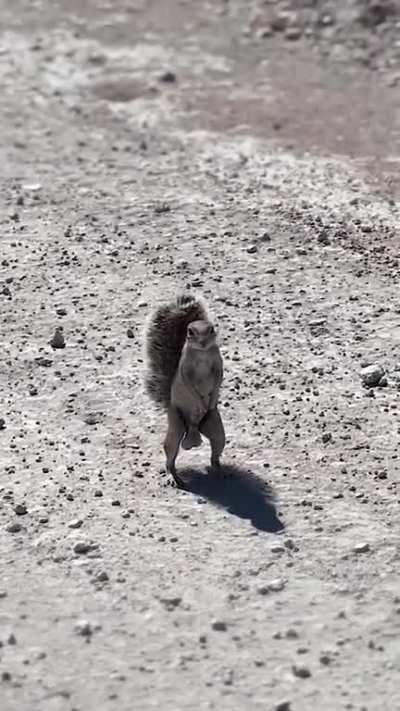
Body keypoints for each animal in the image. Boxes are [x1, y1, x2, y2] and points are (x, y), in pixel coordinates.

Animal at [145, 293, 225, 488]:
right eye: (190, 332)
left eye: (212, 329)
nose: (202, 342)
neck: (202, 352)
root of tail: (193, 427)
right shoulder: (185, 368)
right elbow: (189, 383)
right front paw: (198, 401)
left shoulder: (218, 364)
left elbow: (219, 378)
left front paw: (211, 400)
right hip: (176, 423)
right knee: (170, 455)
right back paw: (173, 477)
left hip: (215, 426)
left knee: (215, 451)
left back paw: (219, 469)